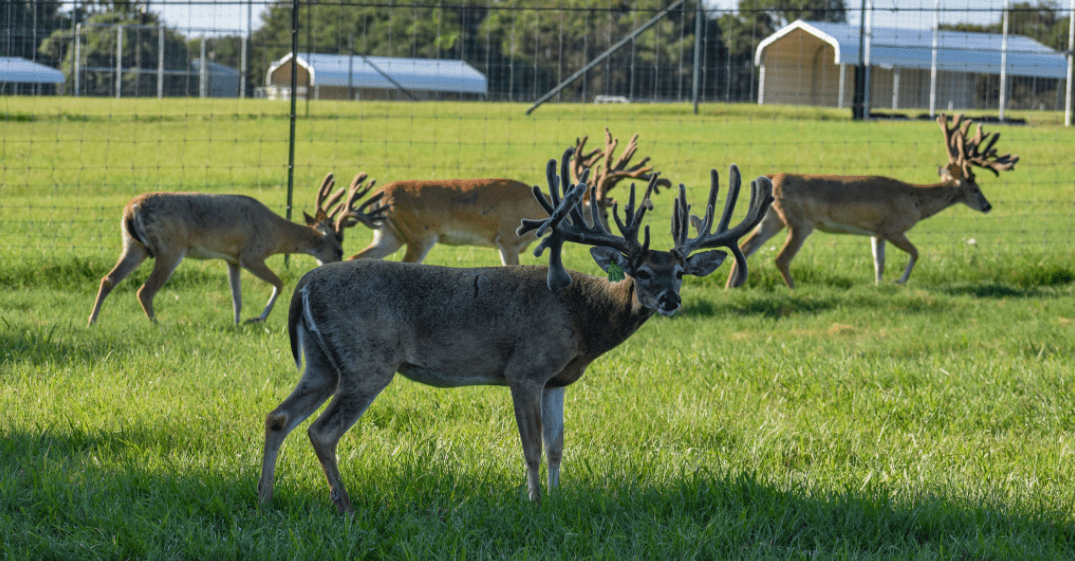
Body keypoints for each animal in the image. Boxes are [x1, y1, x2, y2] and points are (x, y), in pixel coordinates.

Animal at [88, 173, 387, 326]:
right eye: (338, 249)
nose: (338, 266)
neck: (276, 233)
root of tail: (132, 209)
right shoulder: (251, 254)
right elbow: (279, 283)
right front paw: (257, 319)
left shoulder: (231, 260)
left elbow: (237, 297)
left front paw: (236, 323)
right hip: (170, 248)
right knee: (144, 291)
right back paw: (157, 325)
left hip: (134, 245)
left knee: (108, 279)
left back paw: (92, 321)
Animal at [256, 149, 774, 514]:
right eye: (641, 271)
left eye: (681, 272)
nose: (670, 300)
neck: (583, 318)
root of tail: (305, 284)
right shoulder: (524, 369)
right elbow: (531, 447)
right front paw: (534, 503)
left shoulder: (558, 380)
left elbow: (557, 447)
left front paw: (560, 499)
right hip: (367, 360)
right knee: (322, 430)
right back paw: (344, 505)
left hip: (322, 363)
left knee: (279, 416)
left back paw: (265, 497)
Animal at [347, 128, 668, 265]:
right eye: (600, 212)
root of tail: (380, 195)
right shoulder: (508, 240)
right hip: (419, 235)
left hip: (389, 234)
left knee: (355, 256)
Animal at [724, 114, 1018, 289]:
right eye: (976, 187)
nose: (988, 206)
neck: (917, 202)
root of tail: (772, 177)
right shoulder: (893, 227)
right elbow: (916, 253)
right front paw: (899, 281)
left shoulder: (877, 232)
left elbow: (879, 261)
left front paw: (879, 285)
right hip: (800, 221)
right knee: (781, 258)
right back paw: (792, 290)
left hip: (772, 218)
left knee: (746, 246)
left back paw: (730, 288)